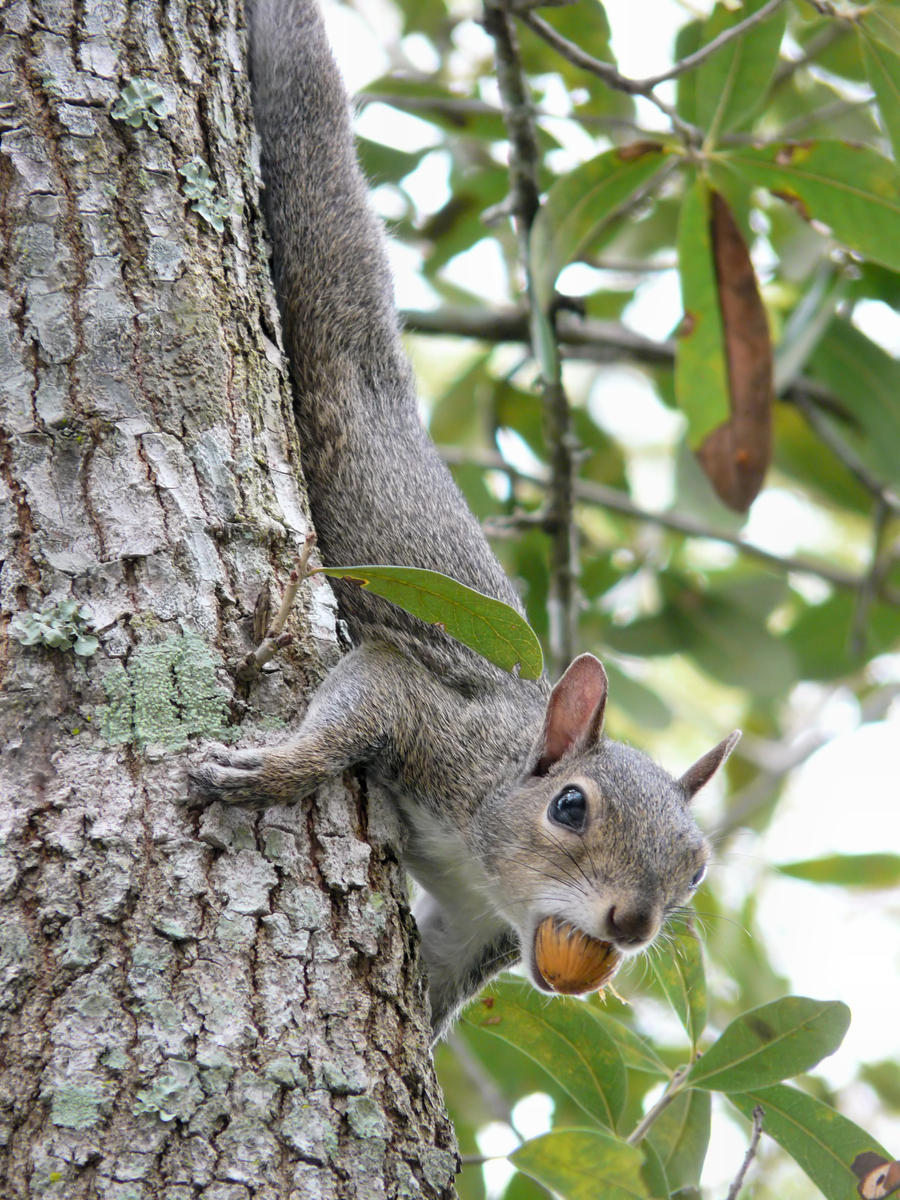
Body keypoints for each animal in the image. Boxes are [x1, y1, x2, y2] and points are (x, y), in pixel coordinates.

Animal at [190, 0, 739, 1036]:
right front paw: (270, 771)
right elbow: (363, 701)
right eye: (570, 808)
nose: (633, 924)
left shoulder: (470, 934)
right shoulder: (435, 717)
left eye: (695, 871)